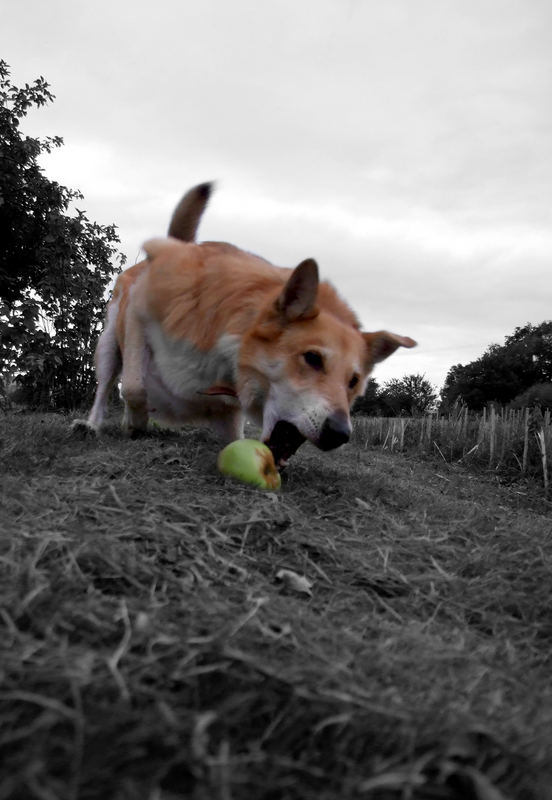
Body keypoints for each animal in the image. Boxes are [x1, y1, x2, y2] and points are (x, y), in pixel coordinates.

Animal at [76, 184, 414, 466]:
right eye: (313, 358)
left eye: (353, 381)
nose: (341, 434)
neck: (228, 355)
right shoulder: (139, 316)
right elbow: (134, 387)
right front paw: (136, 423)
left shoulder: (230, 415)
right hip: (108, 347)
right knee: (106, 387)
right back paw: (92, 424)